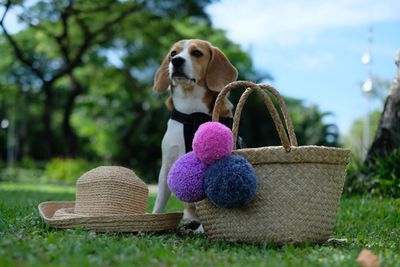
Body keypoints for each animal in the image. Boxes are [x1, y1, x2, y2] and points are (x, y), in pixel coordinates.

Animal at [152, 39, 236, 224]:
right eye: (173, 53)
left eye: (197, 53)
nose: (176, 61)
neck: (191, 113)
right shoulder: (167, 163)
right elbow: (160, 200)